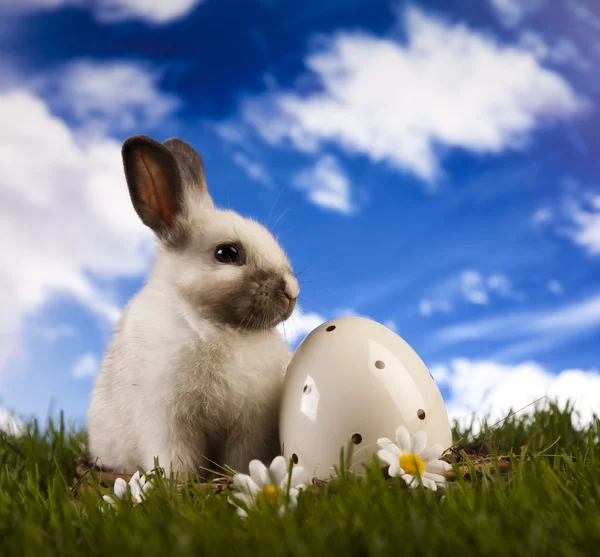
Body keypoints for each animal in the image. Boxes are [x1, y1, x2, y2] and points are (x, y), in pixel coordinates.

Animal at [85, 135, 298, 478]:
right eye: (227, 253)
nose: (292, 291)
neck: (219, 326)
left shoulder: (249, 428)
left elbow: (241, 461)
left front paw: (236, 478)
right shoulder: (167, 422)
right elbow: (177, 459)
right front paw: (179, 483)